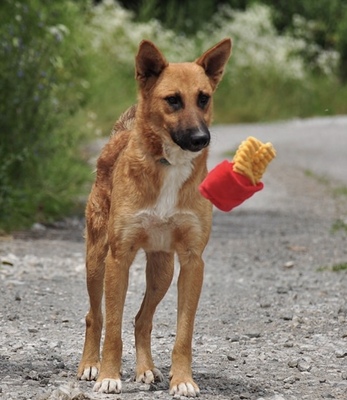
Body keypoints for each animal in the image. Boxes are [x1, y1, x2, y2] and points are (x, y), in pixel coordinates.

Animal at [77, 38, 232, 396]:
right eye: (173, 100)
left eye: (204, 98)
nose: (201, 139)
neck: (169, 165)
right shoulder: (118, 258)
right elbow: (113, 328)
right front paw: (109, 376)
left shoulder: (192, 262)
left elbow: (183, 334)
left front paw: (183, 380)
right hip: (96, 261)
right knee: (95, 317)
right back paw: (90, 365)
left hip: (162, 271)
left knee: (142, 320)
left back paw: (146, 369)